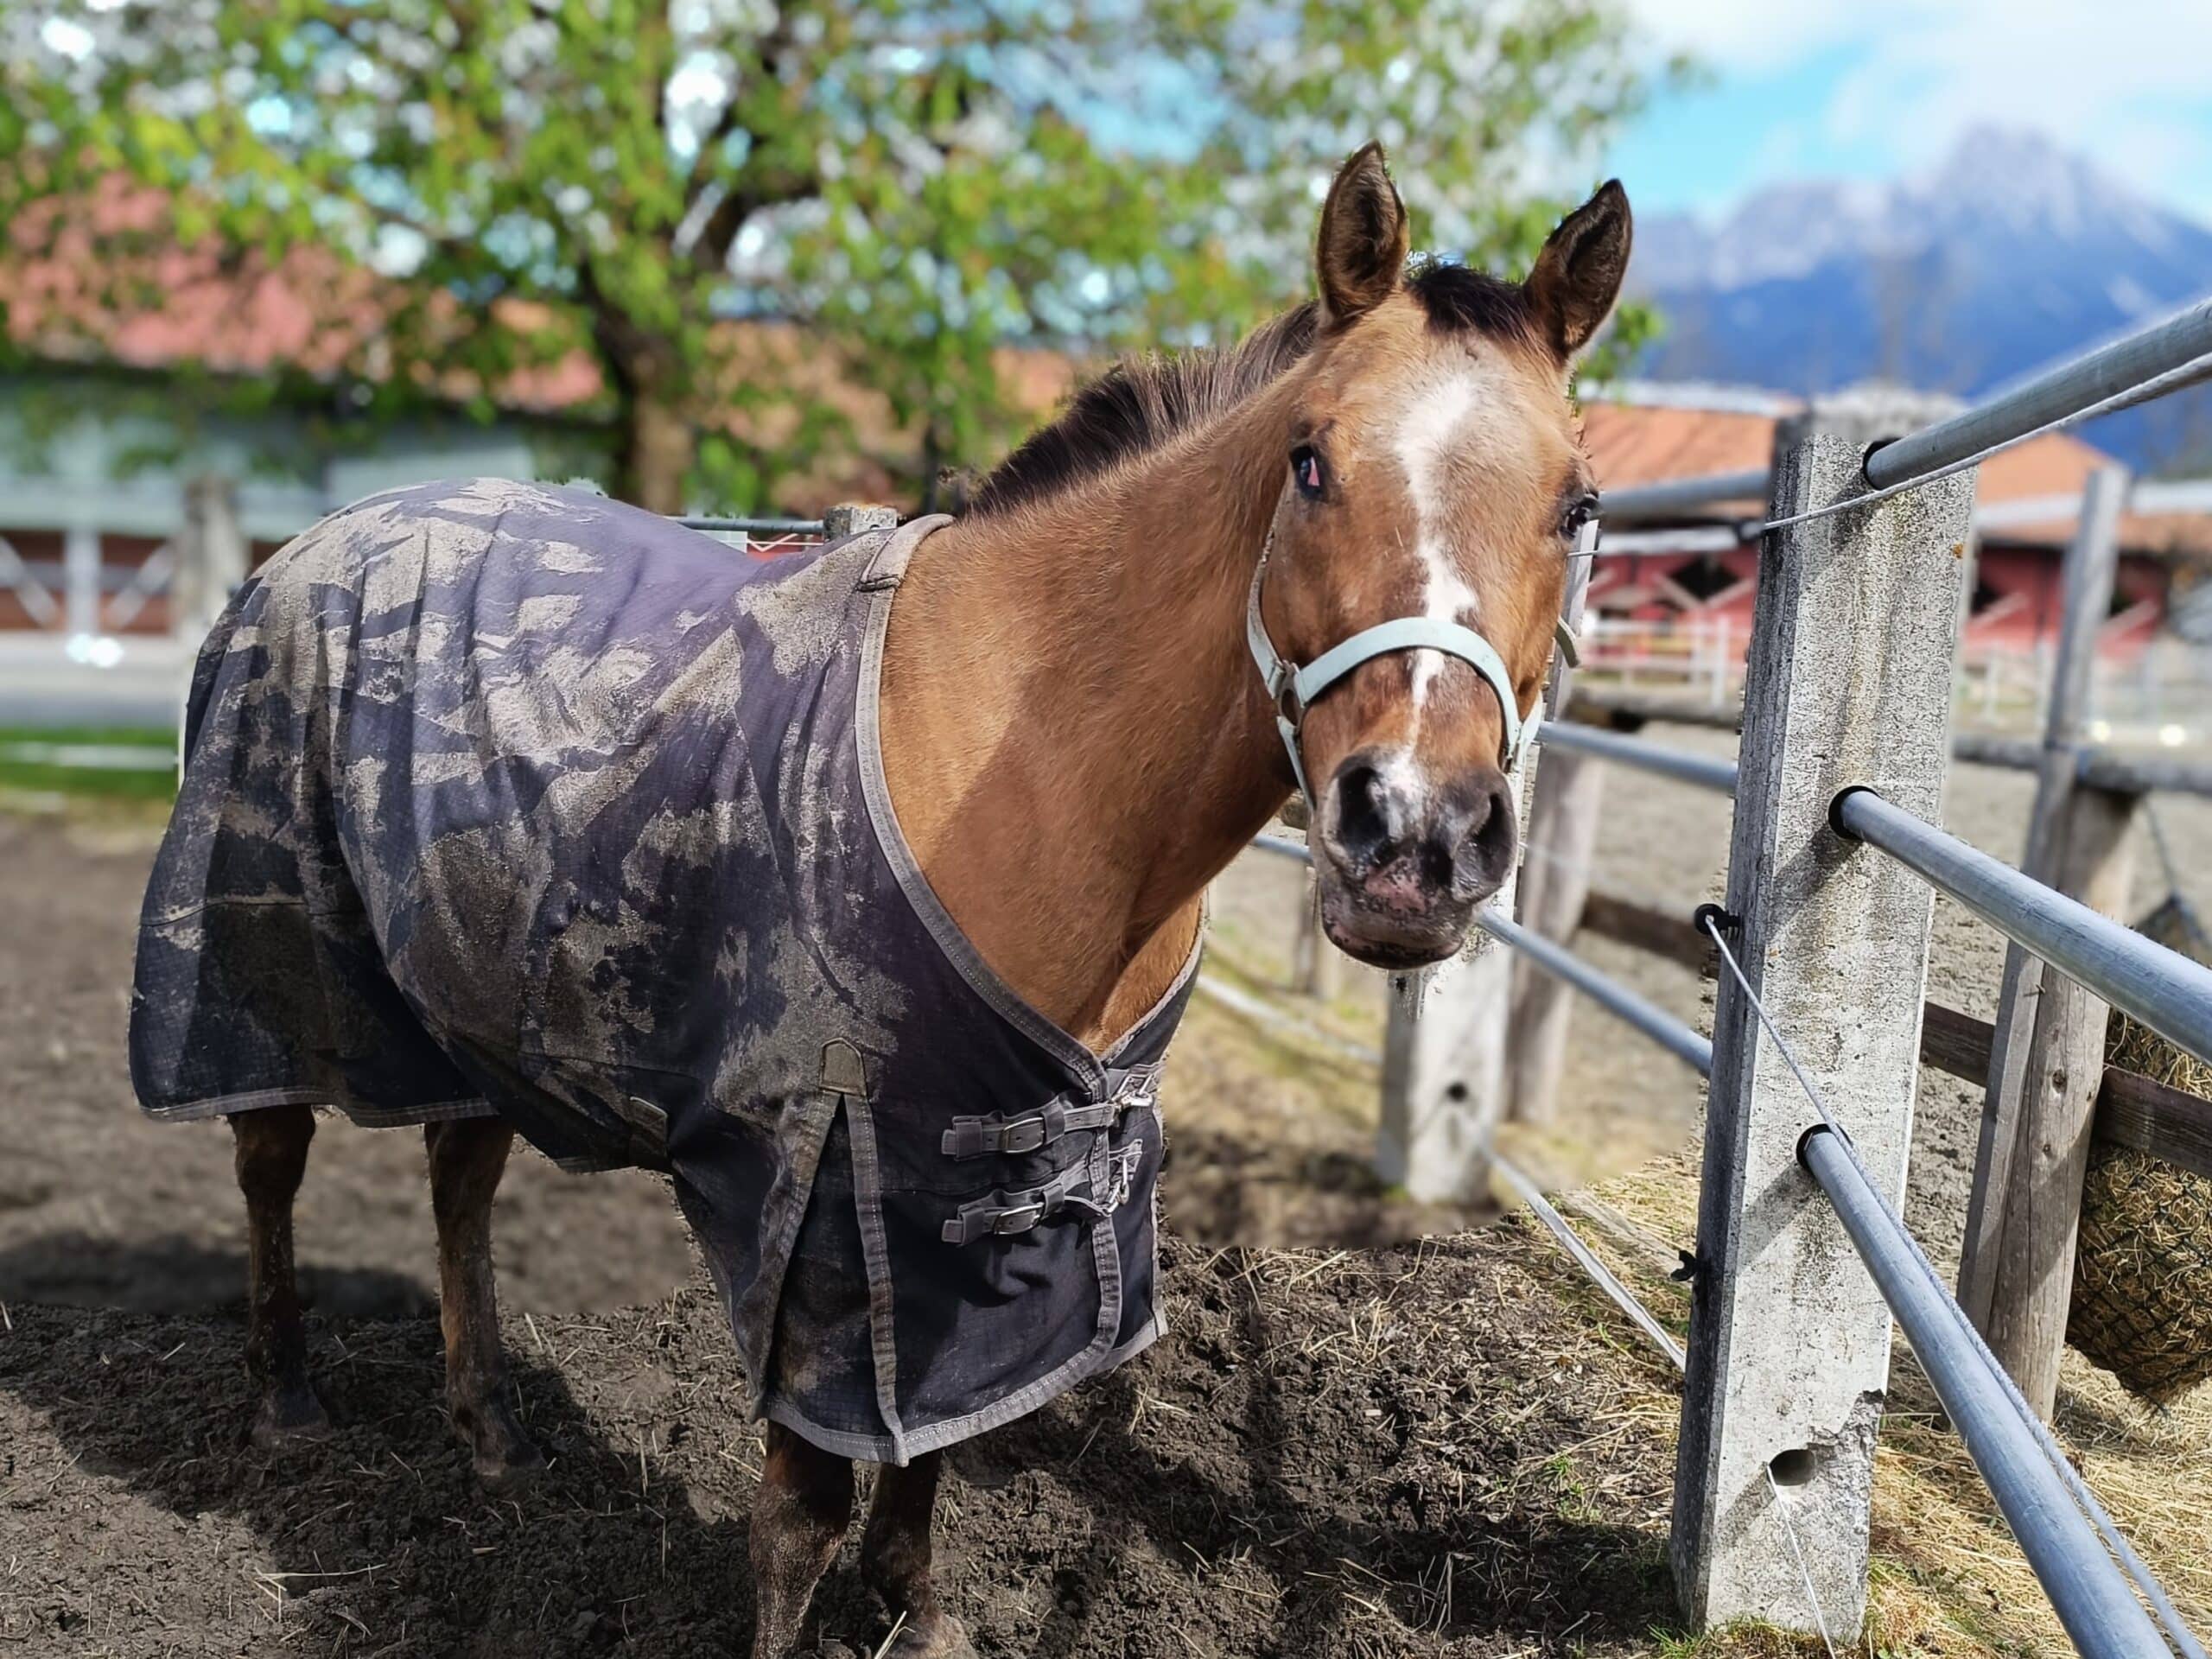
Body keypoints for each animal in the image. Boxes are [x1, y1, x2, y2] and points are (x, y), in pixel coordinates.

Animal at [127, 142, 1628, 1657]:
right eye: (1311, 461)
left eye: (1579, 506)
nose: (1416, 837)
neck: (1032, 763)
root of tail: (296, 552)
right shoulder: (828, 1194)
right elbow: (803, 1510)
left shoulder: (988, 1189)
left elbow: (945, 1441)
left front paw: (916, 1609)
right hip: (262, 945)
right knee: (269, 1153)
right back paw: (286, 1403)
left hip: (473, 978)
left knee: (459, 1170)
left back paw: (488, 1430)